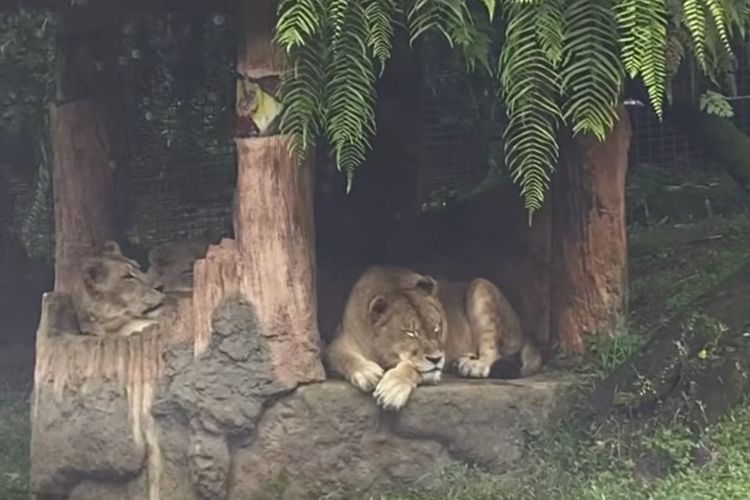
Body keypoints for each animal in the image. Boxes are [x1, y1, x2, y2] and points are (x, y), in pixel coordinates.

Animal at [326, 266, 544, 410]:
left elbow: (411, 368)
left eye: (437, 328)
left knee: (492, 350)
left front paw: (392, 389)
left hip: (480, 286)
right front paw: (367, 373)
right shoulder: (338, 341)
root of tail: (524, 329)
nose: (437, 359)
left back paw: (473, 366)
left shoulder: (430, 369)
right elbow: (344, 357)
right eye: (411, 332)